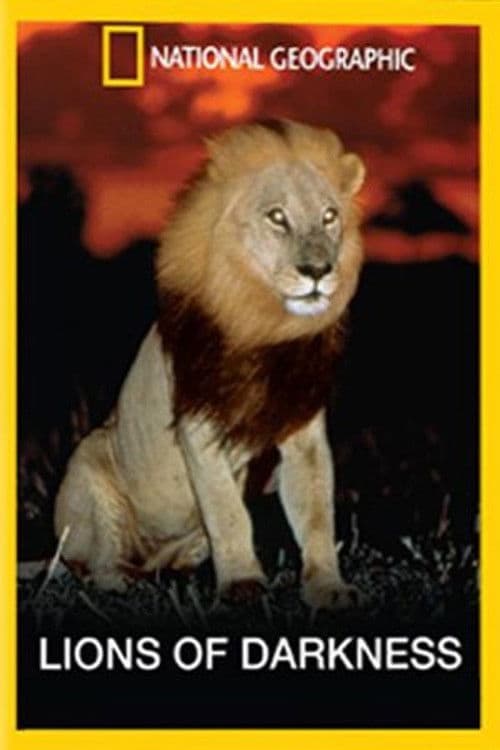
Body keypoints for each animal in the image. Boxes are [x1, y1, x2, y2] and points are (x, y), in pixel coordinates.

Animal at [54, 120, 365, 611]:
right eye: (277, 216)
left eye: (330, 216)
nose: (318, 271)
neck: (265, 325)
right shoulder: (199, 422)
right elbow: (228, 512)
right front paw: (242, 586)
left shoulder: (304, 433)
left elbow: (317, 516)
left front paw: (327, 589)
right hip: (89, 460)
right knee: (97, 567)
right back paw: (126, 580)